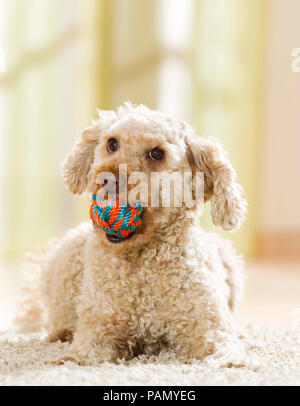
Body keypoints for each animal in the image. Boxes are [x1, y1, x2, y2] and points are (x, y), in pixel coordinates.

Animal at [21, 103, 247, 366]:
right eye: (112, 143)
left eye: (157, 154)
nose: (107, 179)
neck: (142, 265)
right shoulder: (99, 329)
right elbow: (82, 355)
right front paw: (66, 360)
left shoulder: (209, 325)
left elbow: (224, 349)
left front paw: (233, 362)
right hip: (64, 259)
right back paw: (61, 333)